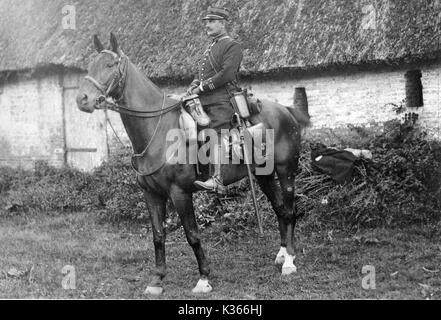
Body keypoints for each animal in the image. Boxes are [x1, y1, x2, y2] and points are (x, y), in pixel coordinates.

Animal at [75, 33, 310, 296]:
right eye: (89, 66)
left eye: (109, 65)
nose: (82, 99)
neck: (158, 131)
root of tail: (285, 110)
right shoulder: (151, 194)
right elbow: (158, 235)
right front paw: (157, 280)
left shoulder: (180, 193)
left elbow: (192, 235)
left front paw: (203, 279)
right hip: (263, 175)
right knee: (279, 208)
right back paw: (281, 254)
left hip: (286, 170)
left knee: (289, 210)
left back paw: (289, 262)